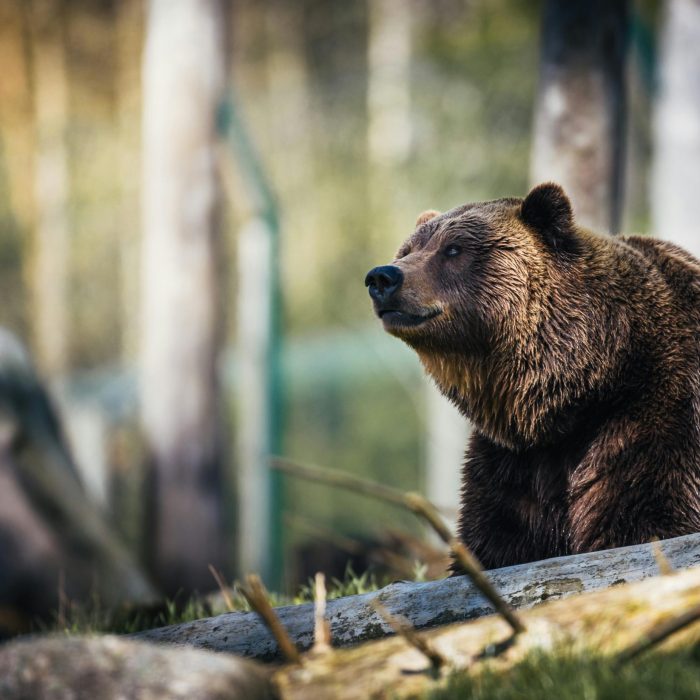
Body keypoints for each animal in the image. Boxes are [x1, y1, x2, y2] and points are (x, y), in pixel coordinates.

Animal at [365, 182, 700, 571]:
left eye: (453, 249)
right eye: (408, 249)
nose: (383, 277)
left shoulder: (656, 417)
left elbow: (646, 518)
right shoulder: (514, 464)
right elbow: (496, 540)